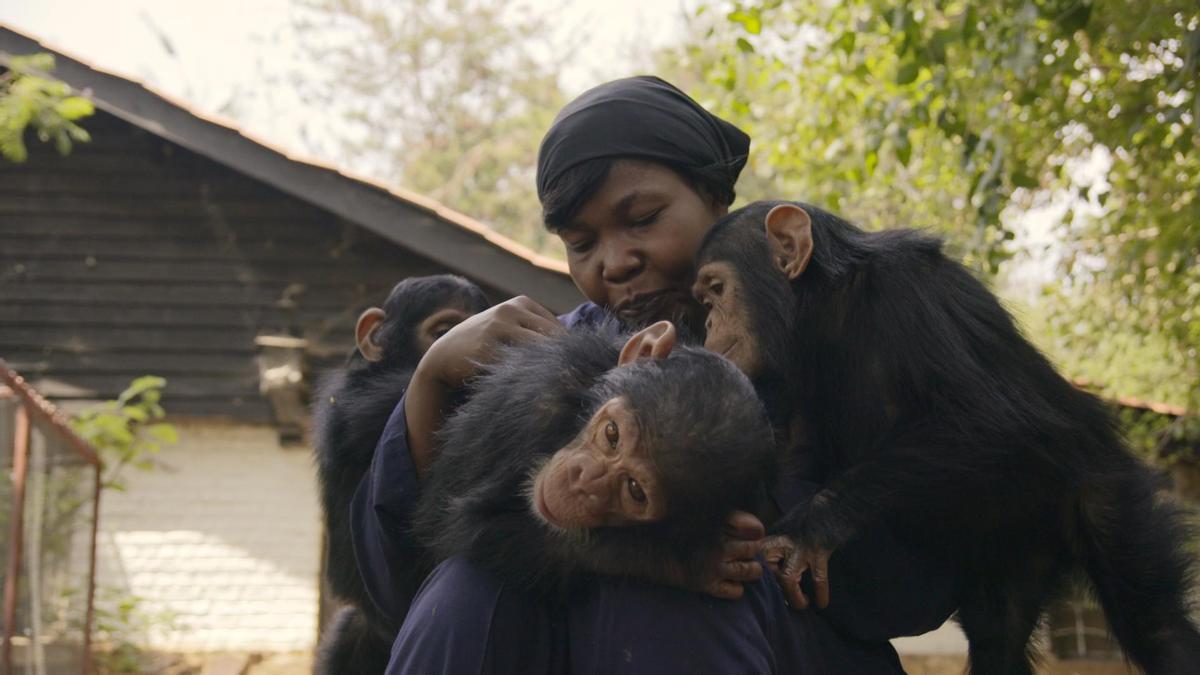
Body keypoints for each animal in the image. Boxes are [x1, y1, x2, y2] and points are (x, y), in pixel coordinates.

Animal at [412, 319, 777, 593]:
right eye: (612, 434)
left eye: (635, 490)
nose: (584, 479)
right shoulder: (534, 406)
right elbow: (464, 526)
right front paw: (678, 563)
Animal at [696, 199, 1200, 672]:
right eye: (704, 300)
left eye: (716, 290)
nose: (708, 325)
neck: (827, 306)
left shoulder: (909, 292)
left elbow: (987, 418)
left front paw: (810, 527)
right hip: (1005, 565)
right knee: (999, 638)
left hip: (1101, 491)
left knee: (1155, 624)